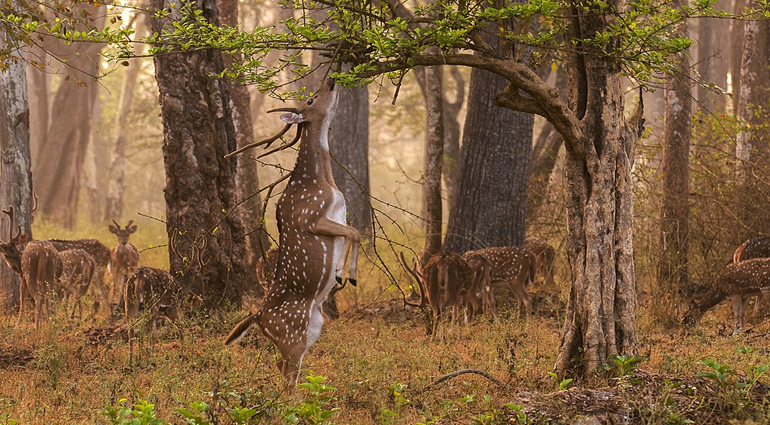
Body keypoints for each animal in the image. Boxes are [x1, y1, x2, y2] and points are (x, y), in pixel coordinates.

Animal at [124, 232, 206, 362]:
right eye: (202, 278)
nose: (203, 293)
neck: (181, 289)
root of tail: (139, 277)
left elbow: (155, 336)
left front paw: (152, 355)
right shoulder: (172, 308)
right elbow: (181, 329)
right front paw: (184, 354)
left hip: (129, 302)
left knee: (131, 331)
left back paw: (131, 360)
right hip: (151, 304)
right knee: (140, 332)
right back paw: (140, 359)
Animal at [224, 78, 361, 387]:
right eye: (310, 100)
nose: (331, 80)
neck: (323, 182)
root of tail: (257, 317)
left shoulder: (337, 216)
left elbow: (354, 230)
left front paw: (347, 274)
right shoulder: (311, 217)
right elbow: (353, 232)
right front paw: (341, 274)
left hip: (314, 326)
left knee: (282, 367)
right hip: (292, 332)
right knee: (287, 374)